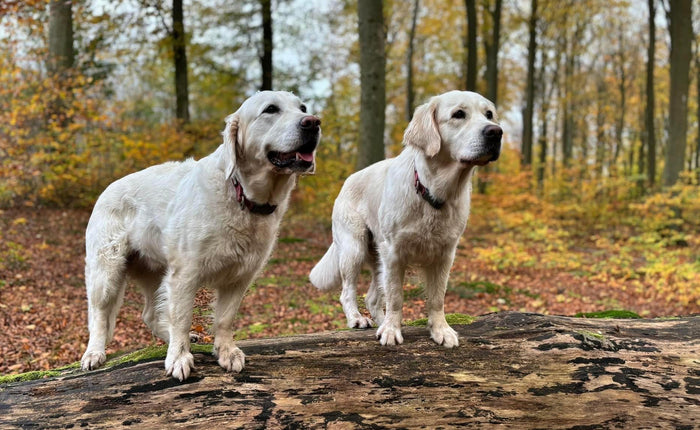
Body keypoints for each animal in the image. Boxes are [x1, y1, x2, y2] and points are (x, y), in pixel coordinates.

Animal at [81, 90, 320, 380]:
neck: (242, 195)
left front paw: (226, 352)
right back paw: (94, 353)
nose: (313, 122)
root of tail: (106, 190)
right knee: (99, 314)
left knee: (149, 314)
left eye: (303, 108)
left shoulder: (240, 276)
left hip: (153, 270)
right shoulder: (185, 273)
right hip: (106, 271)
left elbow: (225, 318)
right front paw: (178, 358)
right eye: (270, 109)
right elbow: (182, 318)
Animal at [308, 90, 500, 346]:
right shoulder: (394, 253)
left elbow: (437, 298)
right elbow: (396, 297)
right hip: (354, 247)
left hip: (376, 258)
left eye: (489, 114)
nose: (496, 132)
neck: (433, 193)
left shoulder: (444, 254)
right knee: (347, 292)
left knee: (372, 298)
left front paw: (441, 330)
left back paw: (379, 320)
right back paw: (358, 319)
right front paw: (391, 331)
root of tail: (347, 181)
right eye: (459, 114)